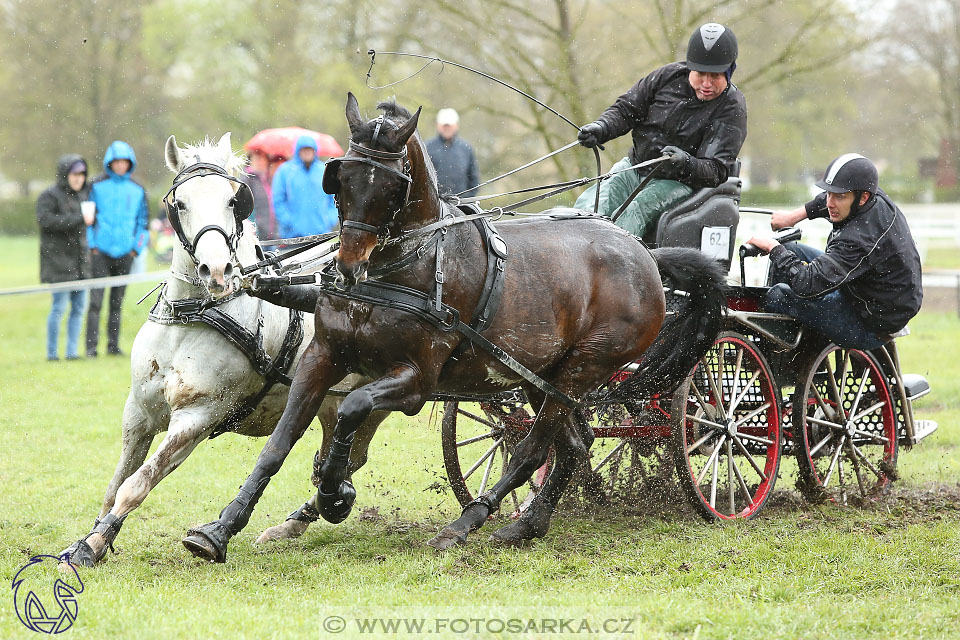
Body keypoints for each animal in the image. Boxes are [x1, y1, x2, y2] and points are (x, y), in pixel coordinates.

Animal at [58, 134, 382, 564]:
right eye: (179, 203)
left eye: (234, 201)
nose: (216, 271)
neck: (194, 317)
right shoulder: (138, 412)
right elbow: (116, 483)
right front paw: (92, 541)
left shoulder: (198, 417)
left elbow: (137, 484)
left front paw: (94, 543)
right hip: (333, 400)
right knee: (342, 457)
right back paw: (296, 522)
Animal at [182, 94, 720, 560]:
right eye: (343, 177)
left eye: (390, 185)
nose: (349, 265)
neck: (400, 269)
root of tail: (645, 253)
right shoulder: (323, 357)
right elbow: (278, 444)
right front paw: (219, 529)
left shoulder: (417, 380)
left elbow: (354, 407)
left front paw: (335, 491)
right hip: (538, 375)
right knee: (570, 445)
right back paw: (526, 525)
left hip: (583, 369)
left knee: (532, 448)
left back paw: (467, 523)